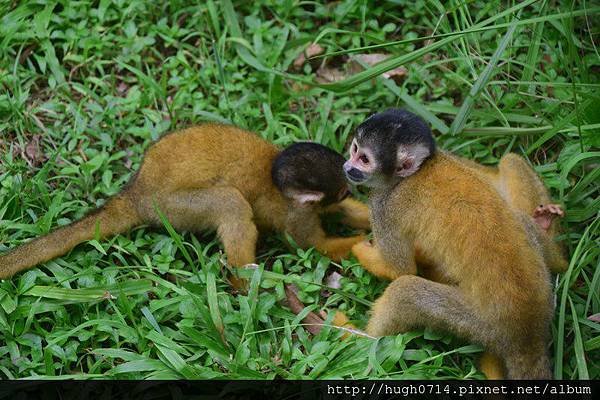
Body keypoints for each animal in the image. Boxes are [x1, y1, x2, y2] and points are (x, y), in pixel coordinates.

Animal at [0, 124, 370, 288]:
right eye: (340, 191)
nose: (352, 182)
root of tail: (136, 191)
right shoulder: (297, 213)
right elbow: (313, 246)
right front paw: (361, 244)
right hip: (171, 208)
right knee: (230, 201)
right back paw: (243, 277)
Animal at [340, 108, 556, 378]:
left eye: (364, 159)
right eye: (354, 148)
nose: (347, 166)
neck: (412, 174)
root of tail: (529, 333)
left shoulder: (385, 206)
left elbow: (399, 269)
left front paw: (359, 248)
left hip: (480, 323)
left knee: (405, 290)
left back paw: (359, 342)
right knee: (520, 208)